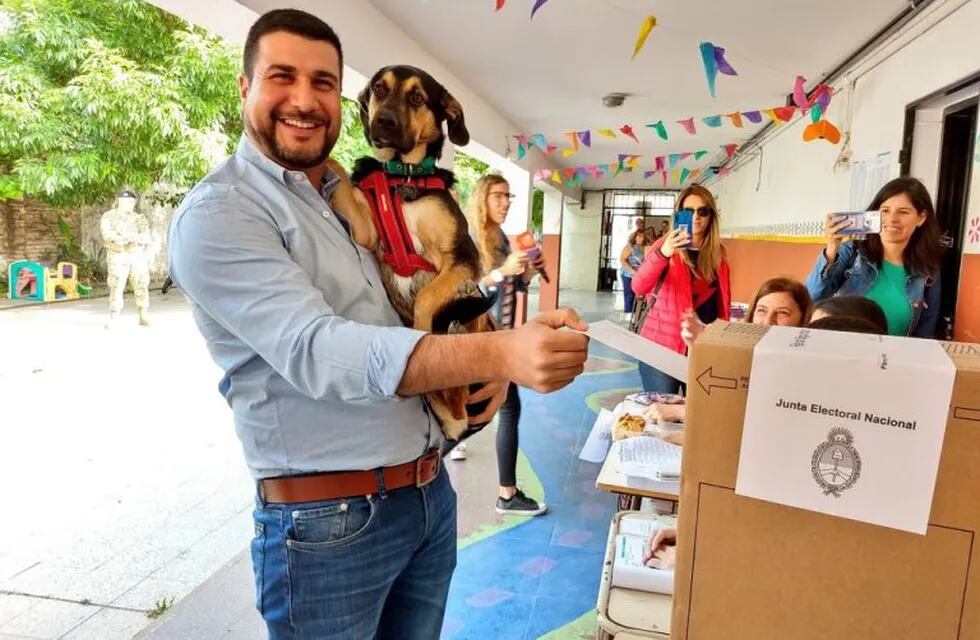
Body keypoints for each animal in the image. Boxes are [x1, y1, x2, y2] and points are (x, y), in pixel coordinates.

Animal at [330, 66, 494, 440]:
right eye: (379, 89)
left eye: (418, 98)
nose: (383, 122)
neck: (404, 177)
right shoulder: (367, 231)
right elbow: (343, 177)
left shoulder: (462, 257)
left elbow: (427, 298)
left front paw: (421, 330)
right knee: (450, 404)